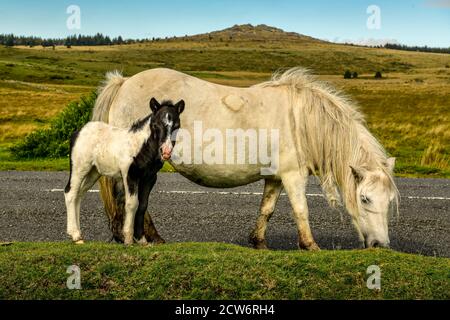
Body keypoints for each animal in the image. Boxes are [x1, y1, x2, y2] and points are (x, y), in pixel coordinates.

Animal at [64, 97, 184, 245]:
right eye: (156, 125)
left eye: (176, 126)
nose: (166, 152)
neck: (140, 146)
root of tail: (78, 132)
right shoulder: (130, 174)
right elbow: (132, 203)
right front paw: (128, 238)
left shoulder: (149, 178)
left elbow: (142, 205)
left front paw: (141, 239)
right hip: (80, 168)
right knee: (70, 193)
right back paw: (75, 234)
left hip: (93, 172)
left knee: (79, 195)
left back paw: (79, 235)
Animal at [93, 68, 400, 250]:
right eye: (365, 199)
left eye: (389, 201)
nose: (380, 245)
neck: (301, 120)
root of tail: (123, 82)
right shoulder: (293, 175)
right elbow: (301, 210)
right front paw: (310, 245)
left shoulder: (276, 177)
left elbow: (267, 209)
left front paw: (259, 242)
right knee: (130, 198)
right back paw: (138, 237)